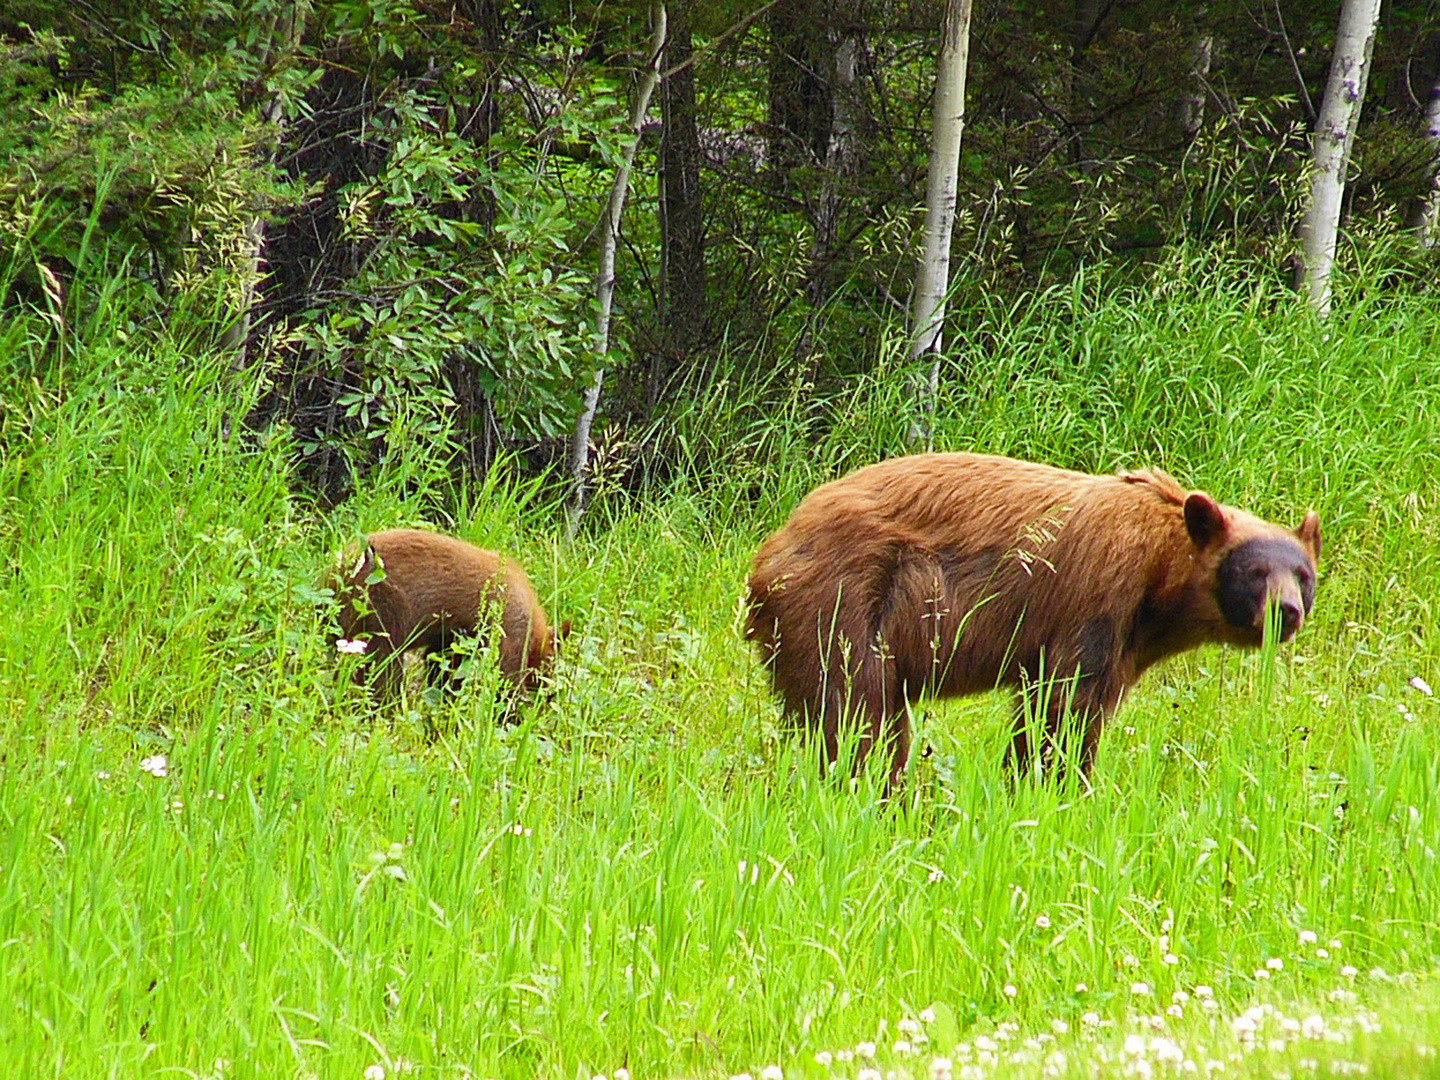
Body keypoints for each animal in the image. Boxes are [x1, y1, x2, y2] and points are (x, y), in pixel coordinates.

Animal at [328, 532, 567, 702]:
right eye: (550, 669)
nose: (550, 697)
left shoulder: (452, 637)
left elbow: (445, 669)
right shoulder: (507, 625)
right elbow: (505, 675)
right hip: (383, 611)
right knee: (383, 668)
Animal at [748, 452, 1319, 789]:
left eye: (1303, 574)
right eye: (1254, 570)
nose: (1286, 610)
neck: (1159, 572)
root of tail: (772, 549)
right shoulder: (1096, 598)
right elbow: (1064, 707)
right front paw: (1053, 783)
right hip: (843, 606)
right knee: (857, 713)